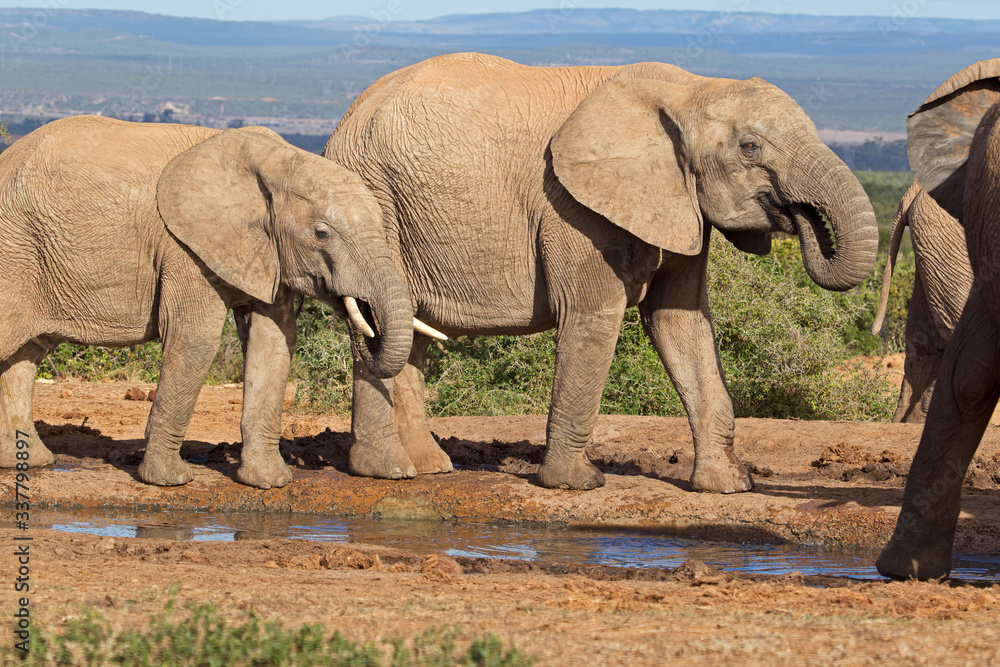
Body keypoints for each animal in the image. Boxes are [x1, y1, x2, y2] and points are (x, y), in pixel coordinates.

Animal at [0, 115, 443, 489]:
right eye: (322, 233)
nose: (364, 320)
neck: (276, 162)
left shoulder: (266, 251)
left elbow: (275, 340)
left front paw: (269, 483)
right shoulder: (184, 247)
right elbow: (197, 338)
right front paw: (171, 481)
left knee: (26, 354)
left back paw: (31, 461)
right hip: (15, 251)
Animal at [325, 52, 879, 494]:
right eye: (750, 147)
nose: (802, 217)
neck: (688, 89)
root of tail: (347, 118)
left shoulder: (679, 201)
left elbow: (680, 321)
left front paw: (729, 488)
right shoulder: (570, 207)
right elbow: (593, 316)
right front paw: (577, 484)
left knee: (407, 327)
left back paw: (429, 467)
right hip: (370, 199)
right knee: (378, 322)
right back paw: (387, 471)